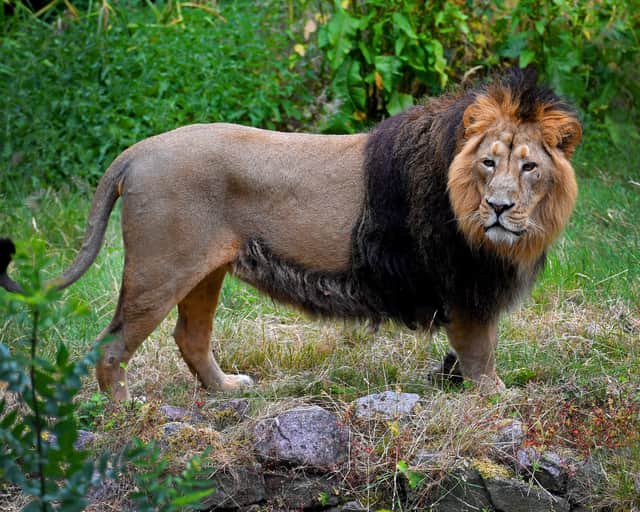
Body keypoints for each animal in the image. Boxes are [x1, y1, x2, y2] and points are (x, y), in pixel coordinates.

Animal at [0, 68, 580, 401]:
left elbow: (471, 353)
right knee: (112, 346)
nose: (500, 208)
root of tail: (137, 151)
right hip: (159, 269)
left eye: (529, 167)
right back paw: (126, 415)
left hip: (204, 271)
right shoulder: (465, 285)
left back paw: (227, 390)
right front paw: (500, 397)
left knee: (190, 337)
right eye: (489, 163)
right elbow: (481, 350)